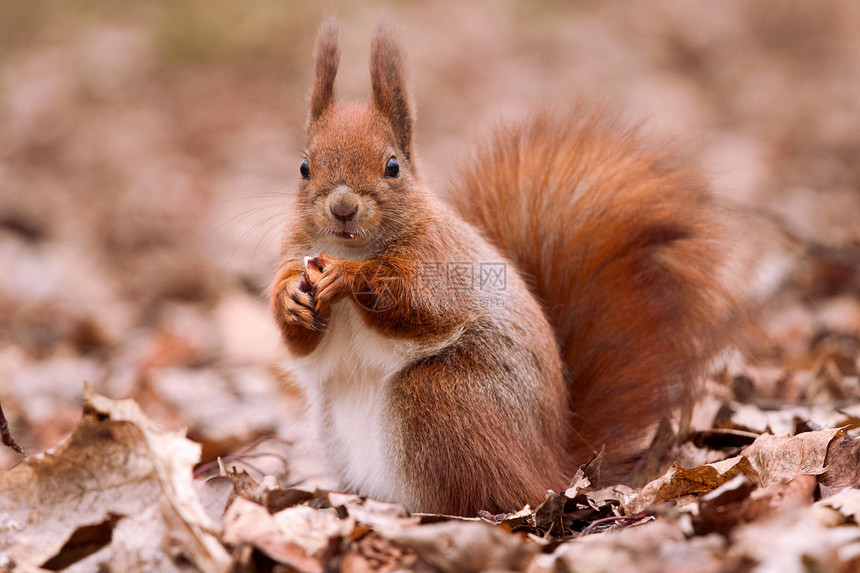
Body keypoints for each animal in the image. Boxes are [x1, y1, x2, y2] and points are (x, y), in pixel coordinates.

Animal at [270, 17, 744, 516]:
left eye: (393, 166)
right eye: (304, 167)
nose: (342, 208)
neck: (354, 248)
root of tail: (553, 467)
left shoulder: (440, 261)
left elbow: (416, 304)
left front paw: (350, 277)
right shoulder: (295, 254)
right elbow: (302, 344)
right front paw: (289, 298)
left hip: (441, 399)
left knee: (489, 491)